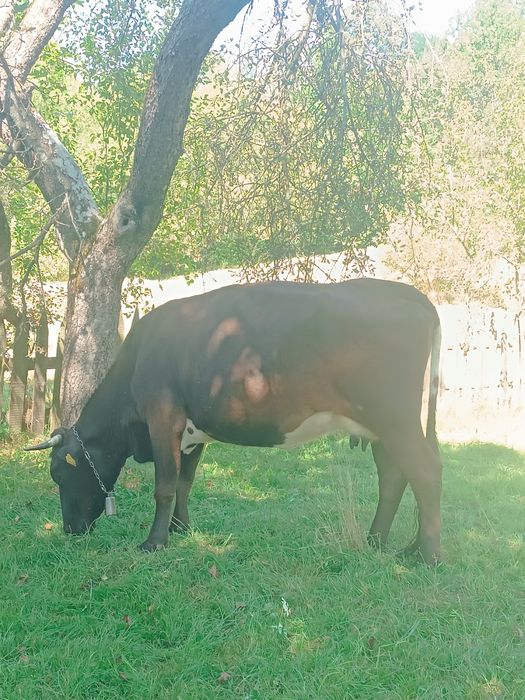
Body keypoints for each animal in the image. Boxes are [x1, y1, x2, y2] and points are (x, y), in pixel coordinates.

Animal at [26, 279, 443, 564]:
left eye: (58, 474)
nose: (70, 529)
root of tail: (409, 294)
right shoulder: (192, 433)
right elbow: (184, 482)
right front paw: (180, 529)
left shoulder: (163, 418)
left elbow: (164, 486)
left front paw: (154, 543)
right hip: (382, 428)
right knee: (394, 476)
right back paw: (380, 541)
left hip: (396, 419)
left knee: (424, 472)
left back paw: (428, 555)